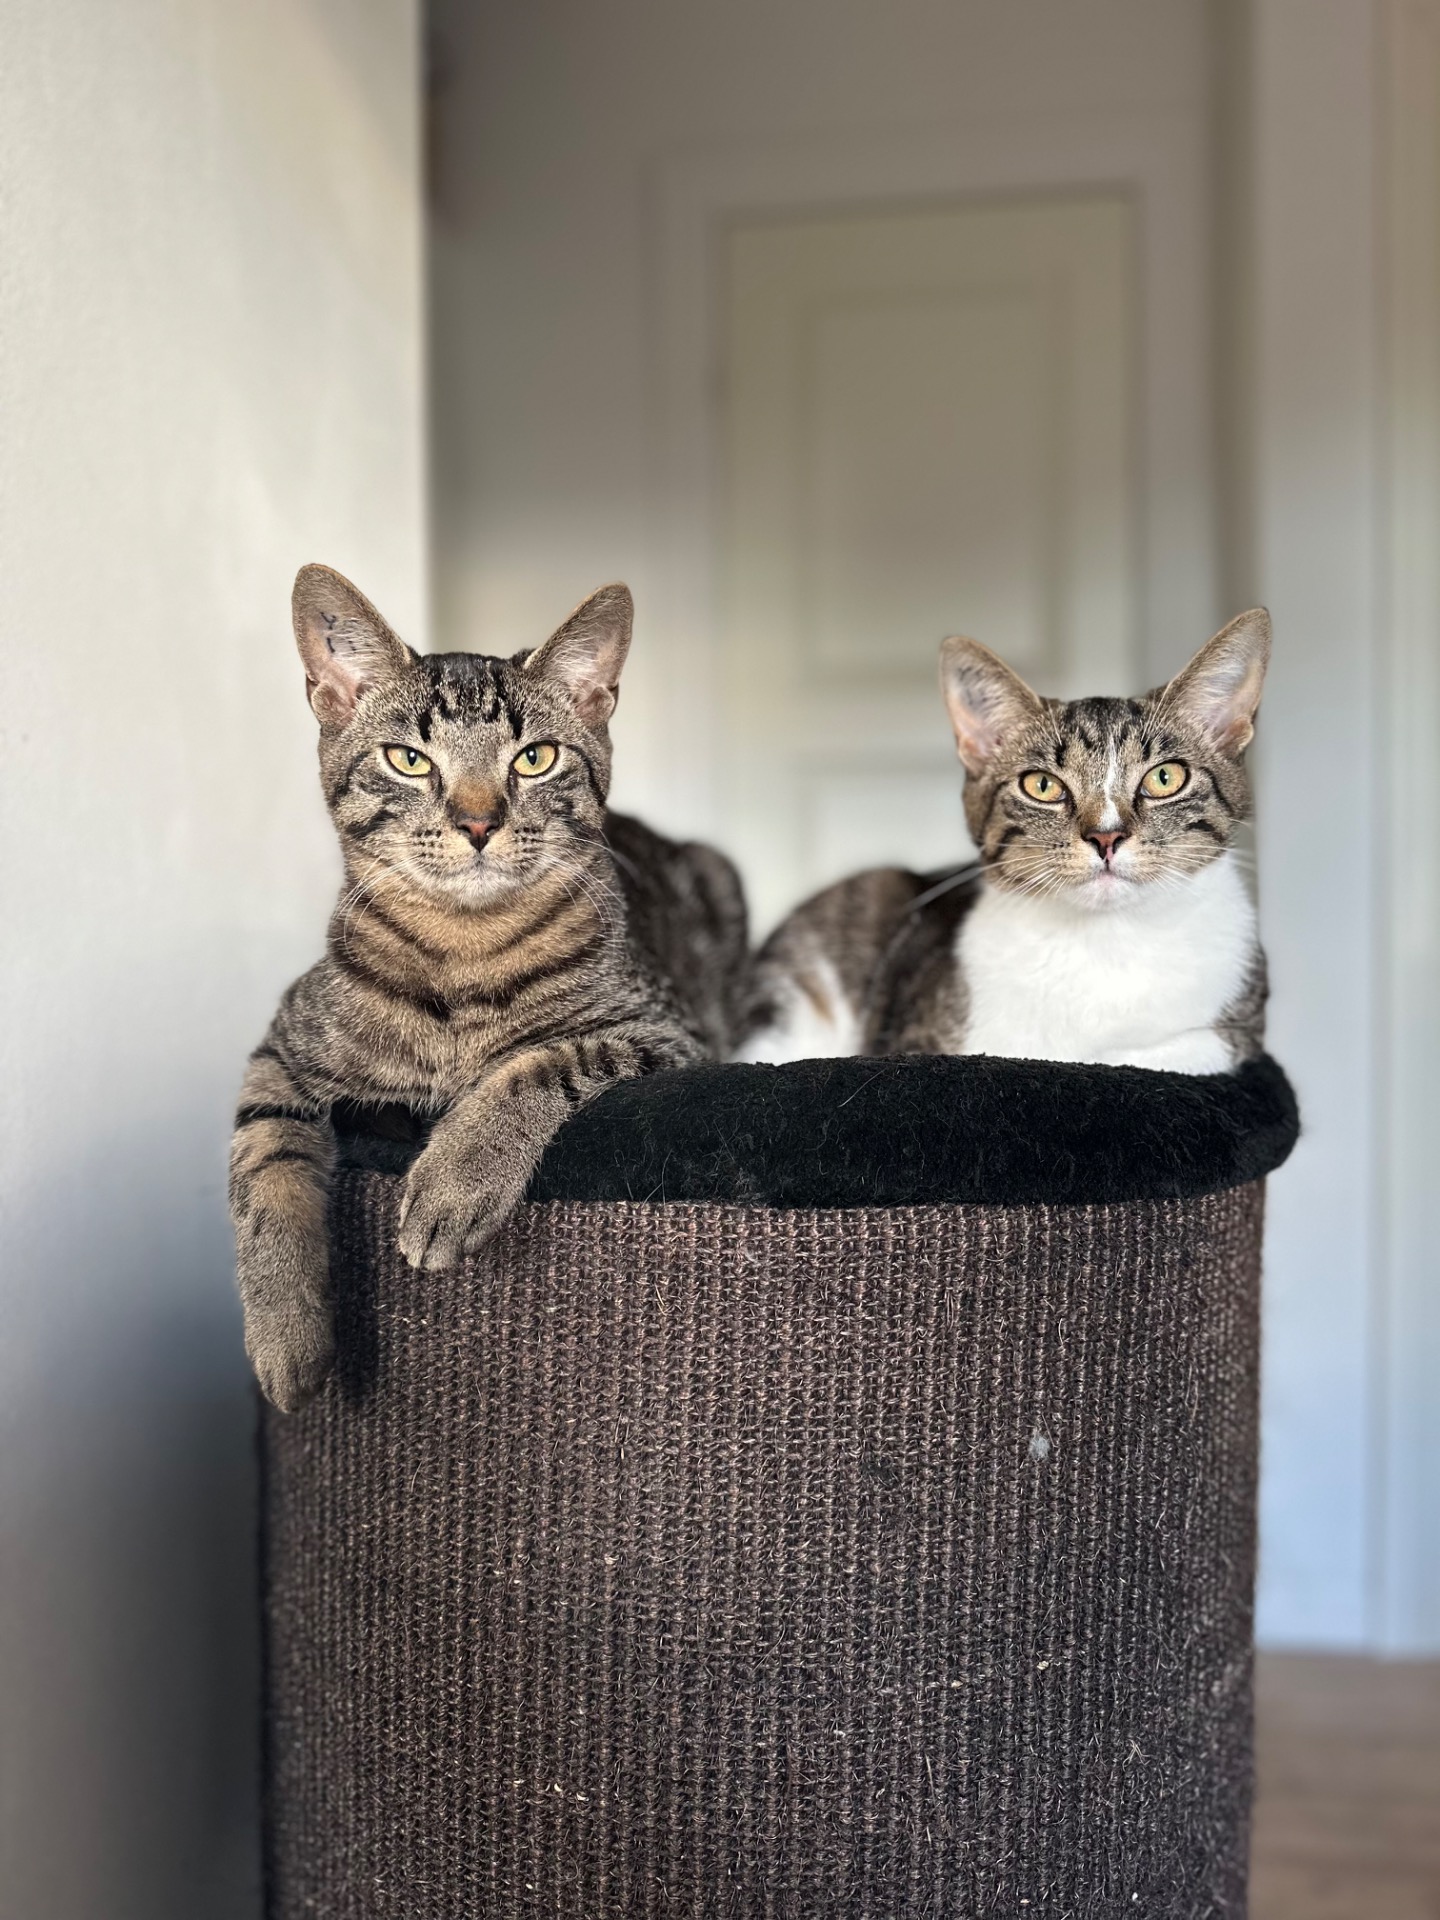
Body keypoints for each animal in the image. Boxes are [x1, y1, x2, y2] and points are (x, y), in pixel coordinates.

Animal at [231, 565, 745, 1411]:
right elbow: (265, 1168)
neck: (462, 951)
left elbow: (538, 1063)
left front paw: (455, 1179)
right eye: (408, 759)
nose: (477, 822)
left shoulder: (671, 1034)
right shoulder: (280, 1052)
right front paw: (286, 1334)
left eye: (535, 758)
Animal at [739, 610, 1271, 1074]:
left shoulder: (1237, 1032)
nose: (1106, 835)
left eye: (1165, 778)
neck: (1103, 942)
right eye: (1042, 785)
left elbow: (1159, 1052)